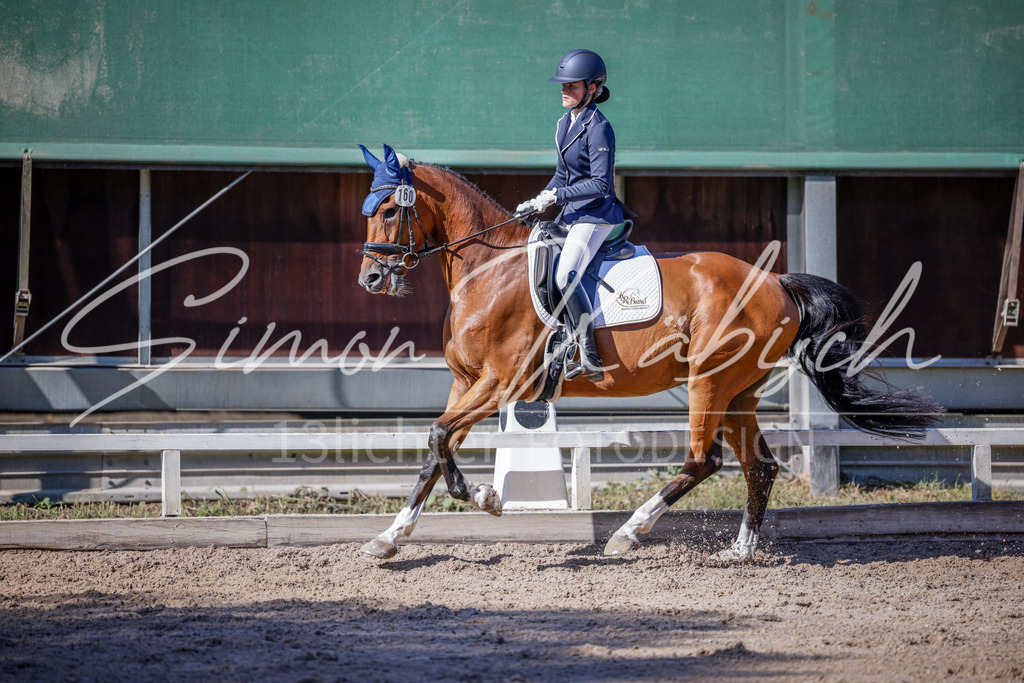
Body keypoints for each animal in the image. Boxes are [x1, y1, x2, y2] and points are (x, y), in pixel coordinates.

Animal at [355, 145, 940, 562]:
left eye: (387, 210)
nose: (370, 279)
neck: (486, 270)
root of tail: (775, 281)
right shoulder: (465, 382)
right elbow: (433, 451)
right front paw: (389, 538)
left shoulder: (499, 382)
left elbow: (437, 438)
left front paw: (485, 498)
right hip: (738, 393)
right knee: (760, 465)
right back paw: (740, 550)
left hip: (708, 383)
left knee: (705, 460)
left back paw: (629, 533)